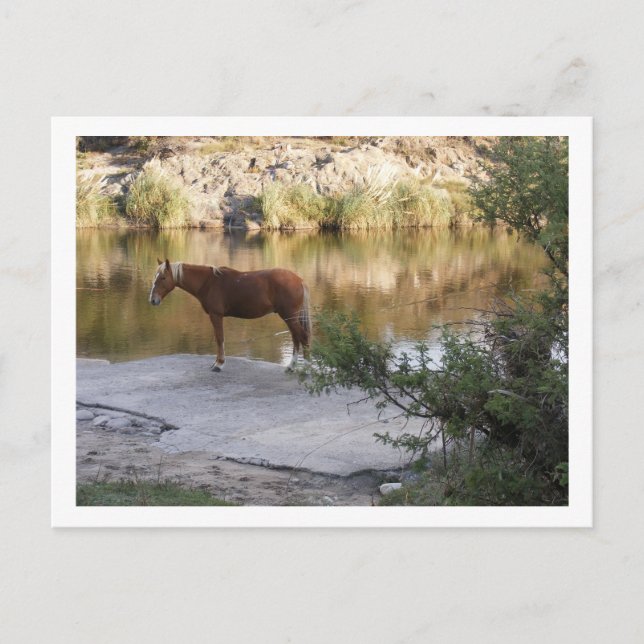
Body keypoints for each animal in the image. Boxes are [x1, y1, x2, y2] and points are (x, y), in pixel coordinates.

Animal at [149, 259, 311, 372]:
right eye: (155, 277)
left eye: (163, 278)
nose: (152, 300)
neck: (208, 282)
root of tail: (299, 279)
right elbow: (219, 339)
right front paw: (216, 362)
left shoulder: (216, 315)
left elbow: (220, 339)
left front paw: (219, 364)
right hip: (290, 318)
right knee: (296, 339)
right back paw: (291, 366)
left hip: (289, 317)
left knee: (303, 337)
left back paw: (307, 368)